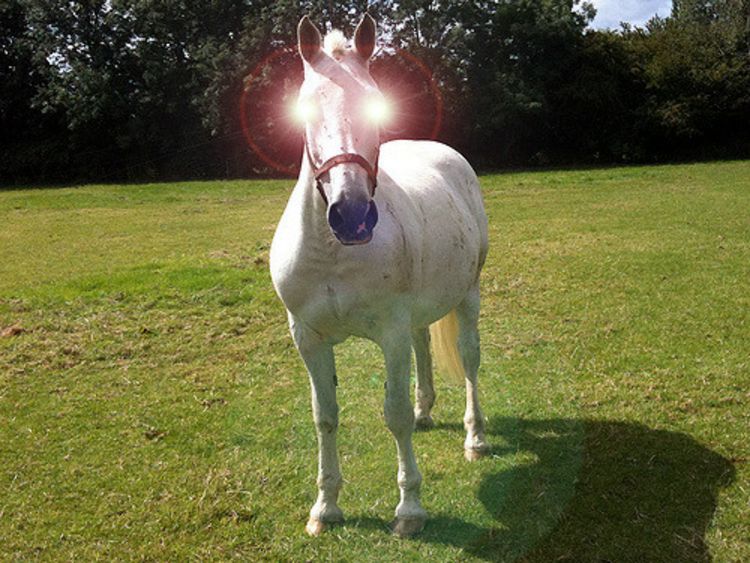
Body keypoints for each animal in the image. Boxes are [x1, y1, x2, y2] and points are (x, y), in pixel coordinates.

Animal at [269, 14, 489, 538]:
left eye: (375, 103)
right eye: (304, 109)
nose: (350, 215)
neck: (333, 254)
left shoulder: (389, 333)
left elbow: (394, 415)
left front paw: (409, 509)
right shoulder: (307, 337)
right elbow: (325, 417)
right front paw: (325, 507)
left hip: (468, 297)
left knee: (470, 362)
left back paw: (475, 438)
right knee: (424, 346)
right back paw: (427, 410)